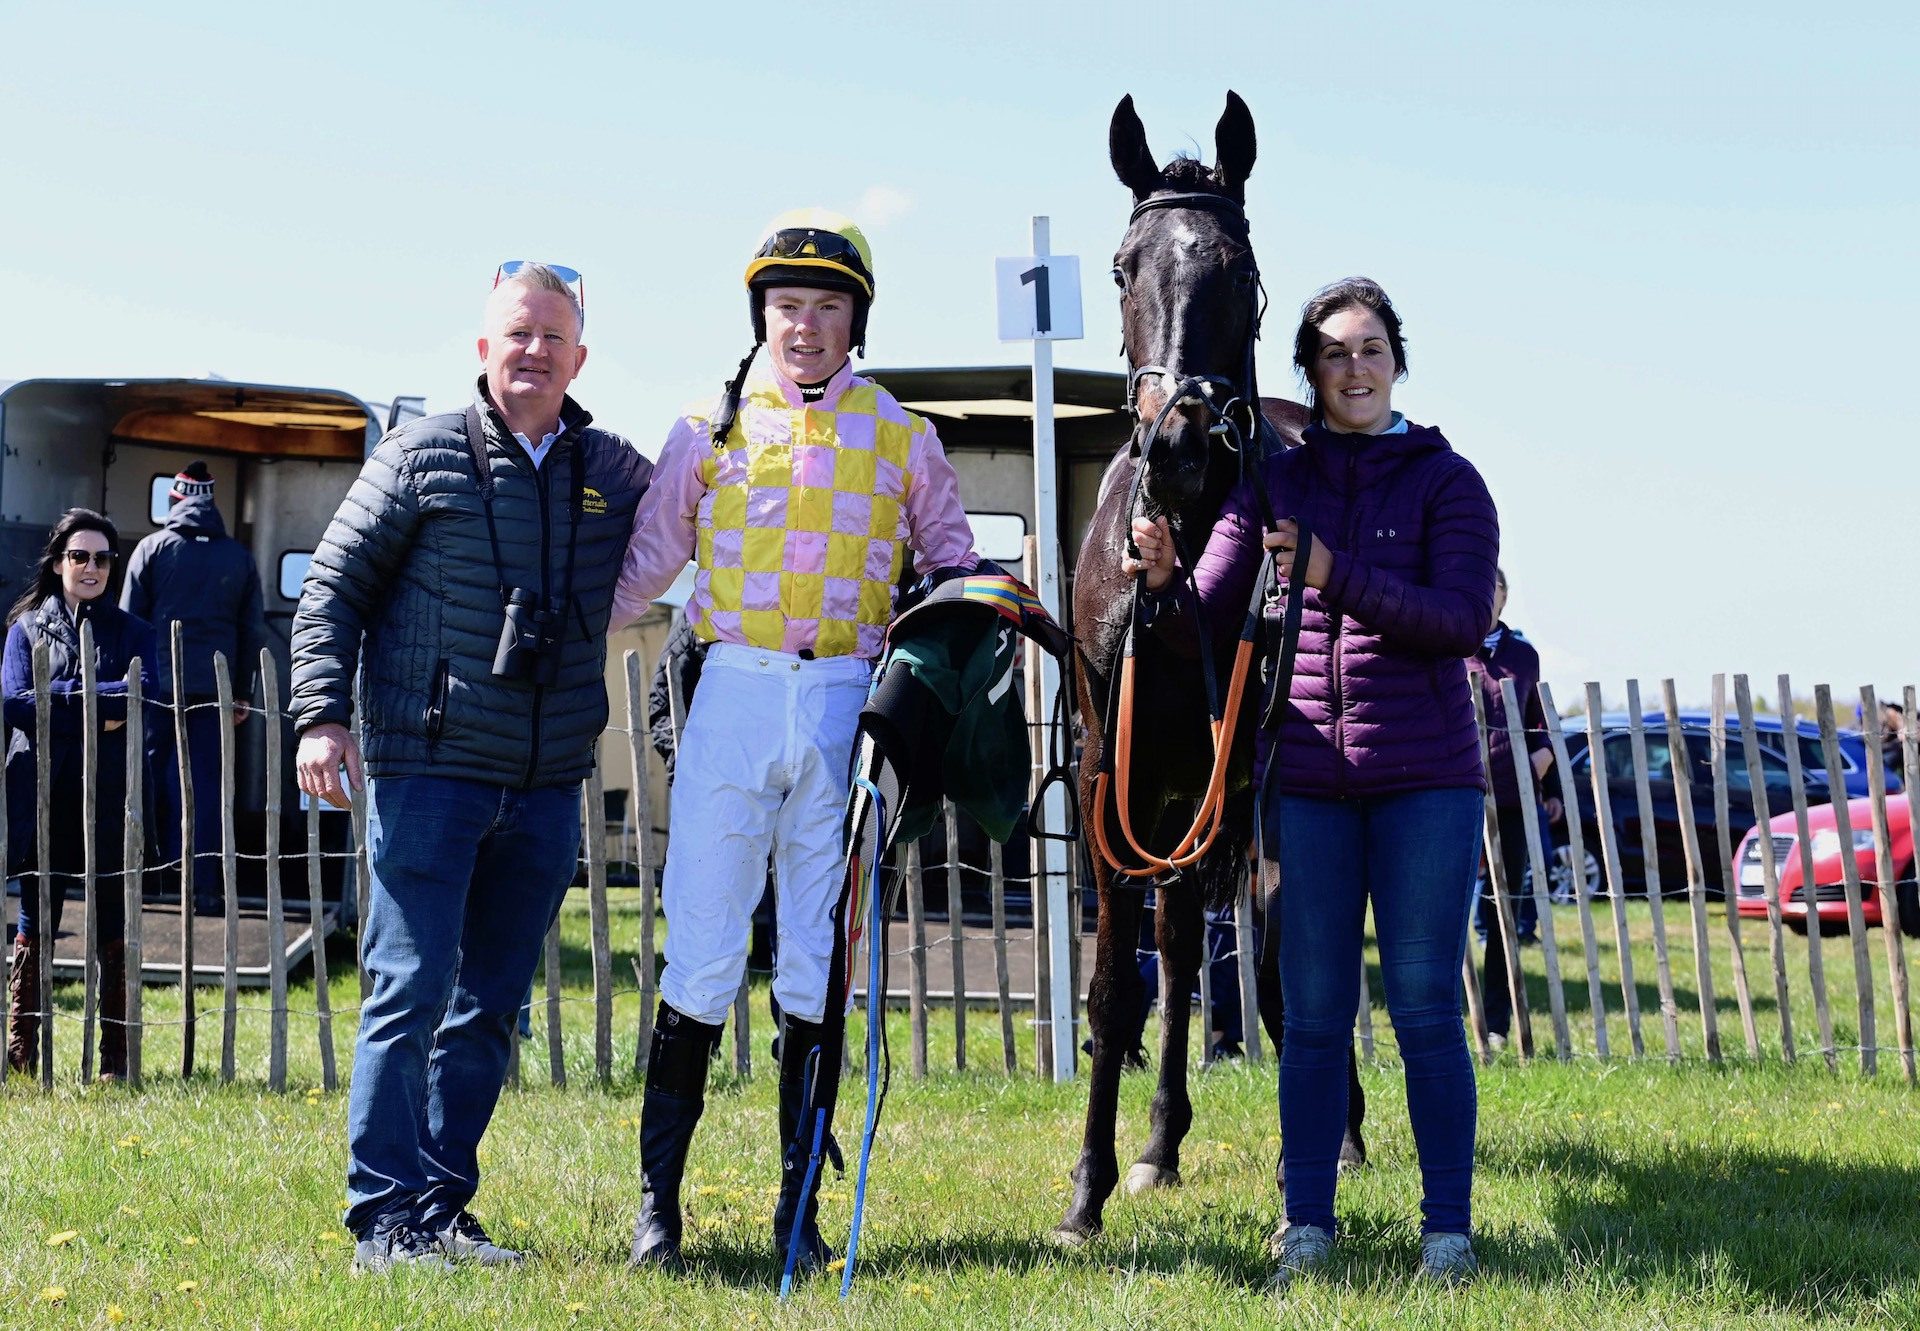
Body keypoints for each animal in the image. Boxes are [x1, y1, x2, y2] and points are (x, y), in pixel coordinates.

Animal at [1052, 93, 1367, 1244]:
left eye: (1241, 268)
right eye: (1121, 265)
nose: (1183, 442)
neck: (1180, 564)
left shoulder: (1253, 776)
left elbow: (1289, 965)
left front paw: (1316, 1154)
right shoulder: (1115, 768)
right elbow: (1120, 984)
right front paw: (1092, 1187)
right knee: (1184, 944)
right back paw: (1159, 1144)